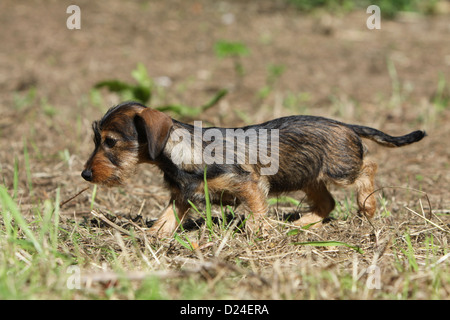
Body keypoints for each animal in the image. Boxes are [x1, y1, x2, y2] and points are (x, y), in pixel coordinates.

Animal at [81, 102, 426, 238]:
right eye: (97, 139)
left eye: (111, 142)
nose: (85, 175)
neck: (183, 151)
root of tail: (346, 124)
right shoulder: (182, 195)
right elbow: (167, 217)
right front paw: (151, 235)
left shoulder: (250, 184)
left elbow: (256, 213)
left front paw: (261, 233)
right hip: (308, 177)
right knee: (327, 203)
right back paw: (302, 224)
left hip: (340, 169)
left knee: (369, 165)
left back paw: (367, 204)